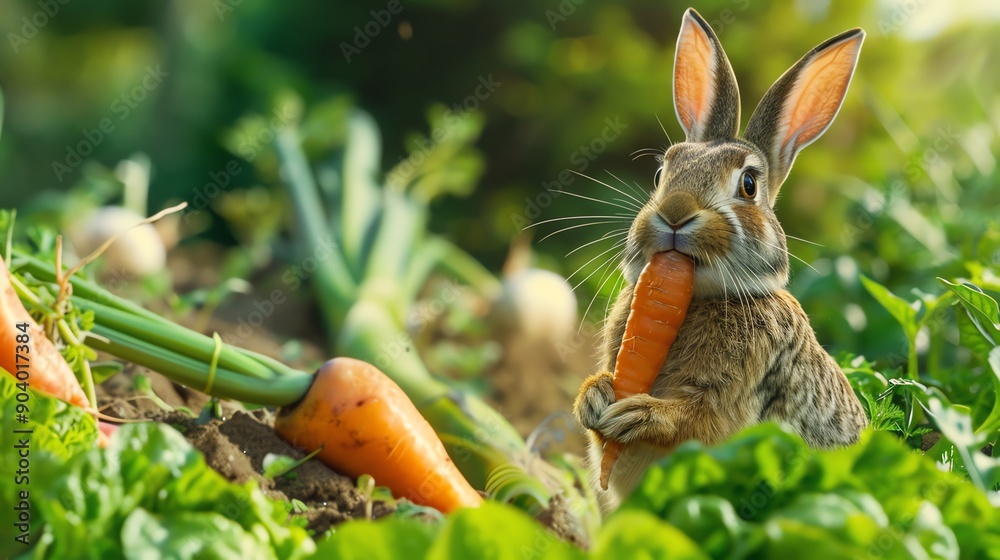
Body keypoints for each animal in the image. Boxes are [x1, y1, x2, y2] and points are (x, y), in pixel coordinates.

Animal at [572, 7, 869, 512]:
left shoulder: (733, 400)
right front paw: (594, 396)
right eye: (661, 173)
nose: (674, 212)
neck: (697, 297)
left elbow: (698, 419)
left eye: (748, 185)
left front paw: (638, 412)